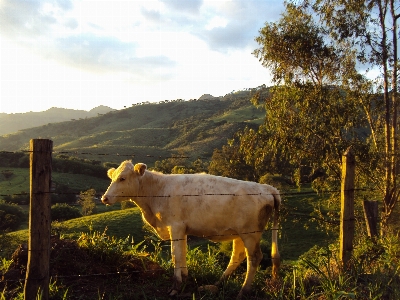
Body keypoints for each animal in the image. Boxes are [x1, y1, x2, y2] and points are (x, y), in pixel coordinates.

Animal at [101, 161, 280, 296]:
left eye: (122, 178)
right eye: (112, 178)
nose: (104, 198)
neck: (157, 192)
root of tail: (267, 188)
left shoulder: (175, 226)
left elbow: (176, 255)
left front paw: (176, 286)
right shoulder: (183, 229)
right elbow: (183, 253)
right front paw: (185, 278)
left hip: (250, 233)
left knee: (254, 257)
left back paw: (243, 291)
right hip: (240, 233)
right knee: (238, 256)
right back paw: (218, 284)